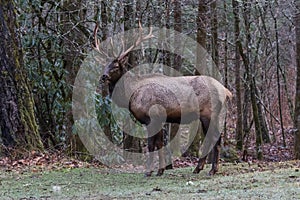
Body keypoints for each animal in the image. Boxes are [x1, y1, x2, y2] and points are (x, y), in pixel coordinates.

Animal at [95, 23, 233, 177]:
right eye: (105, 64)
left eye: (116, 66)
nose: (103, 76)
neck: (131, 94)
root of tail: (226, 91)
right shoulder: (160, 119)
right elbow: (160, 144)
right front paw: (160, 170)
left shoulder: (152, 117)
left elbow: (151, 145)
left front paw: (148, 172)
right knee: (210, 138)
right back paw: (198, 168)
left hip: (209, 113)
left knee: (216, 138)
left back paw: (212, 169)